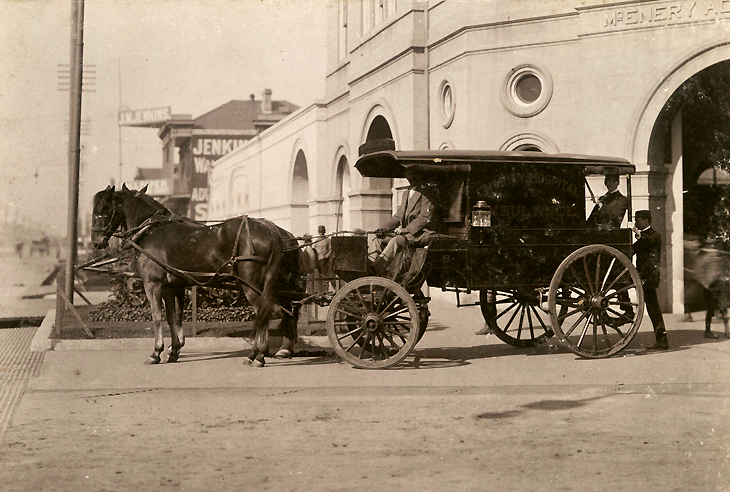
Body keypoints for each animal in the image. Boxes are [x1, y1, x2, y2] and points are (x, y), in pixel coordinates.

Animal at [91, 186, 308, 368]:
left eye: (102, 209)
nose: (96, 242)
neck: (151, 232)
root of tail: (272, 231)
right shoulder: (173, 286)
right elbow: (173, 317)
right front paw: (174, 350)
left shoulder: (153, 284)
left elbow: (157, 317)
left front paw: (157, 352)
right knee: (284, 311)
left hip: (252, 285)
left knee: (266, 312)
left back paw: (258, 354)